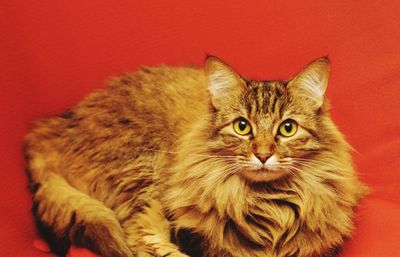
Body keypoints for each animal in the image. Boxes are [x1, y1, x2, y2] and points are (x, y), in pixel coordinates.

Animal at [23, 56, 368, 256]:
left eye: (287, 128)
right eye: (242, 127)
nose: (263, 155)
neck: (267, 204)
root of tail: (55, 125)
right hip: (144, 171)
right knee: (140, 238)